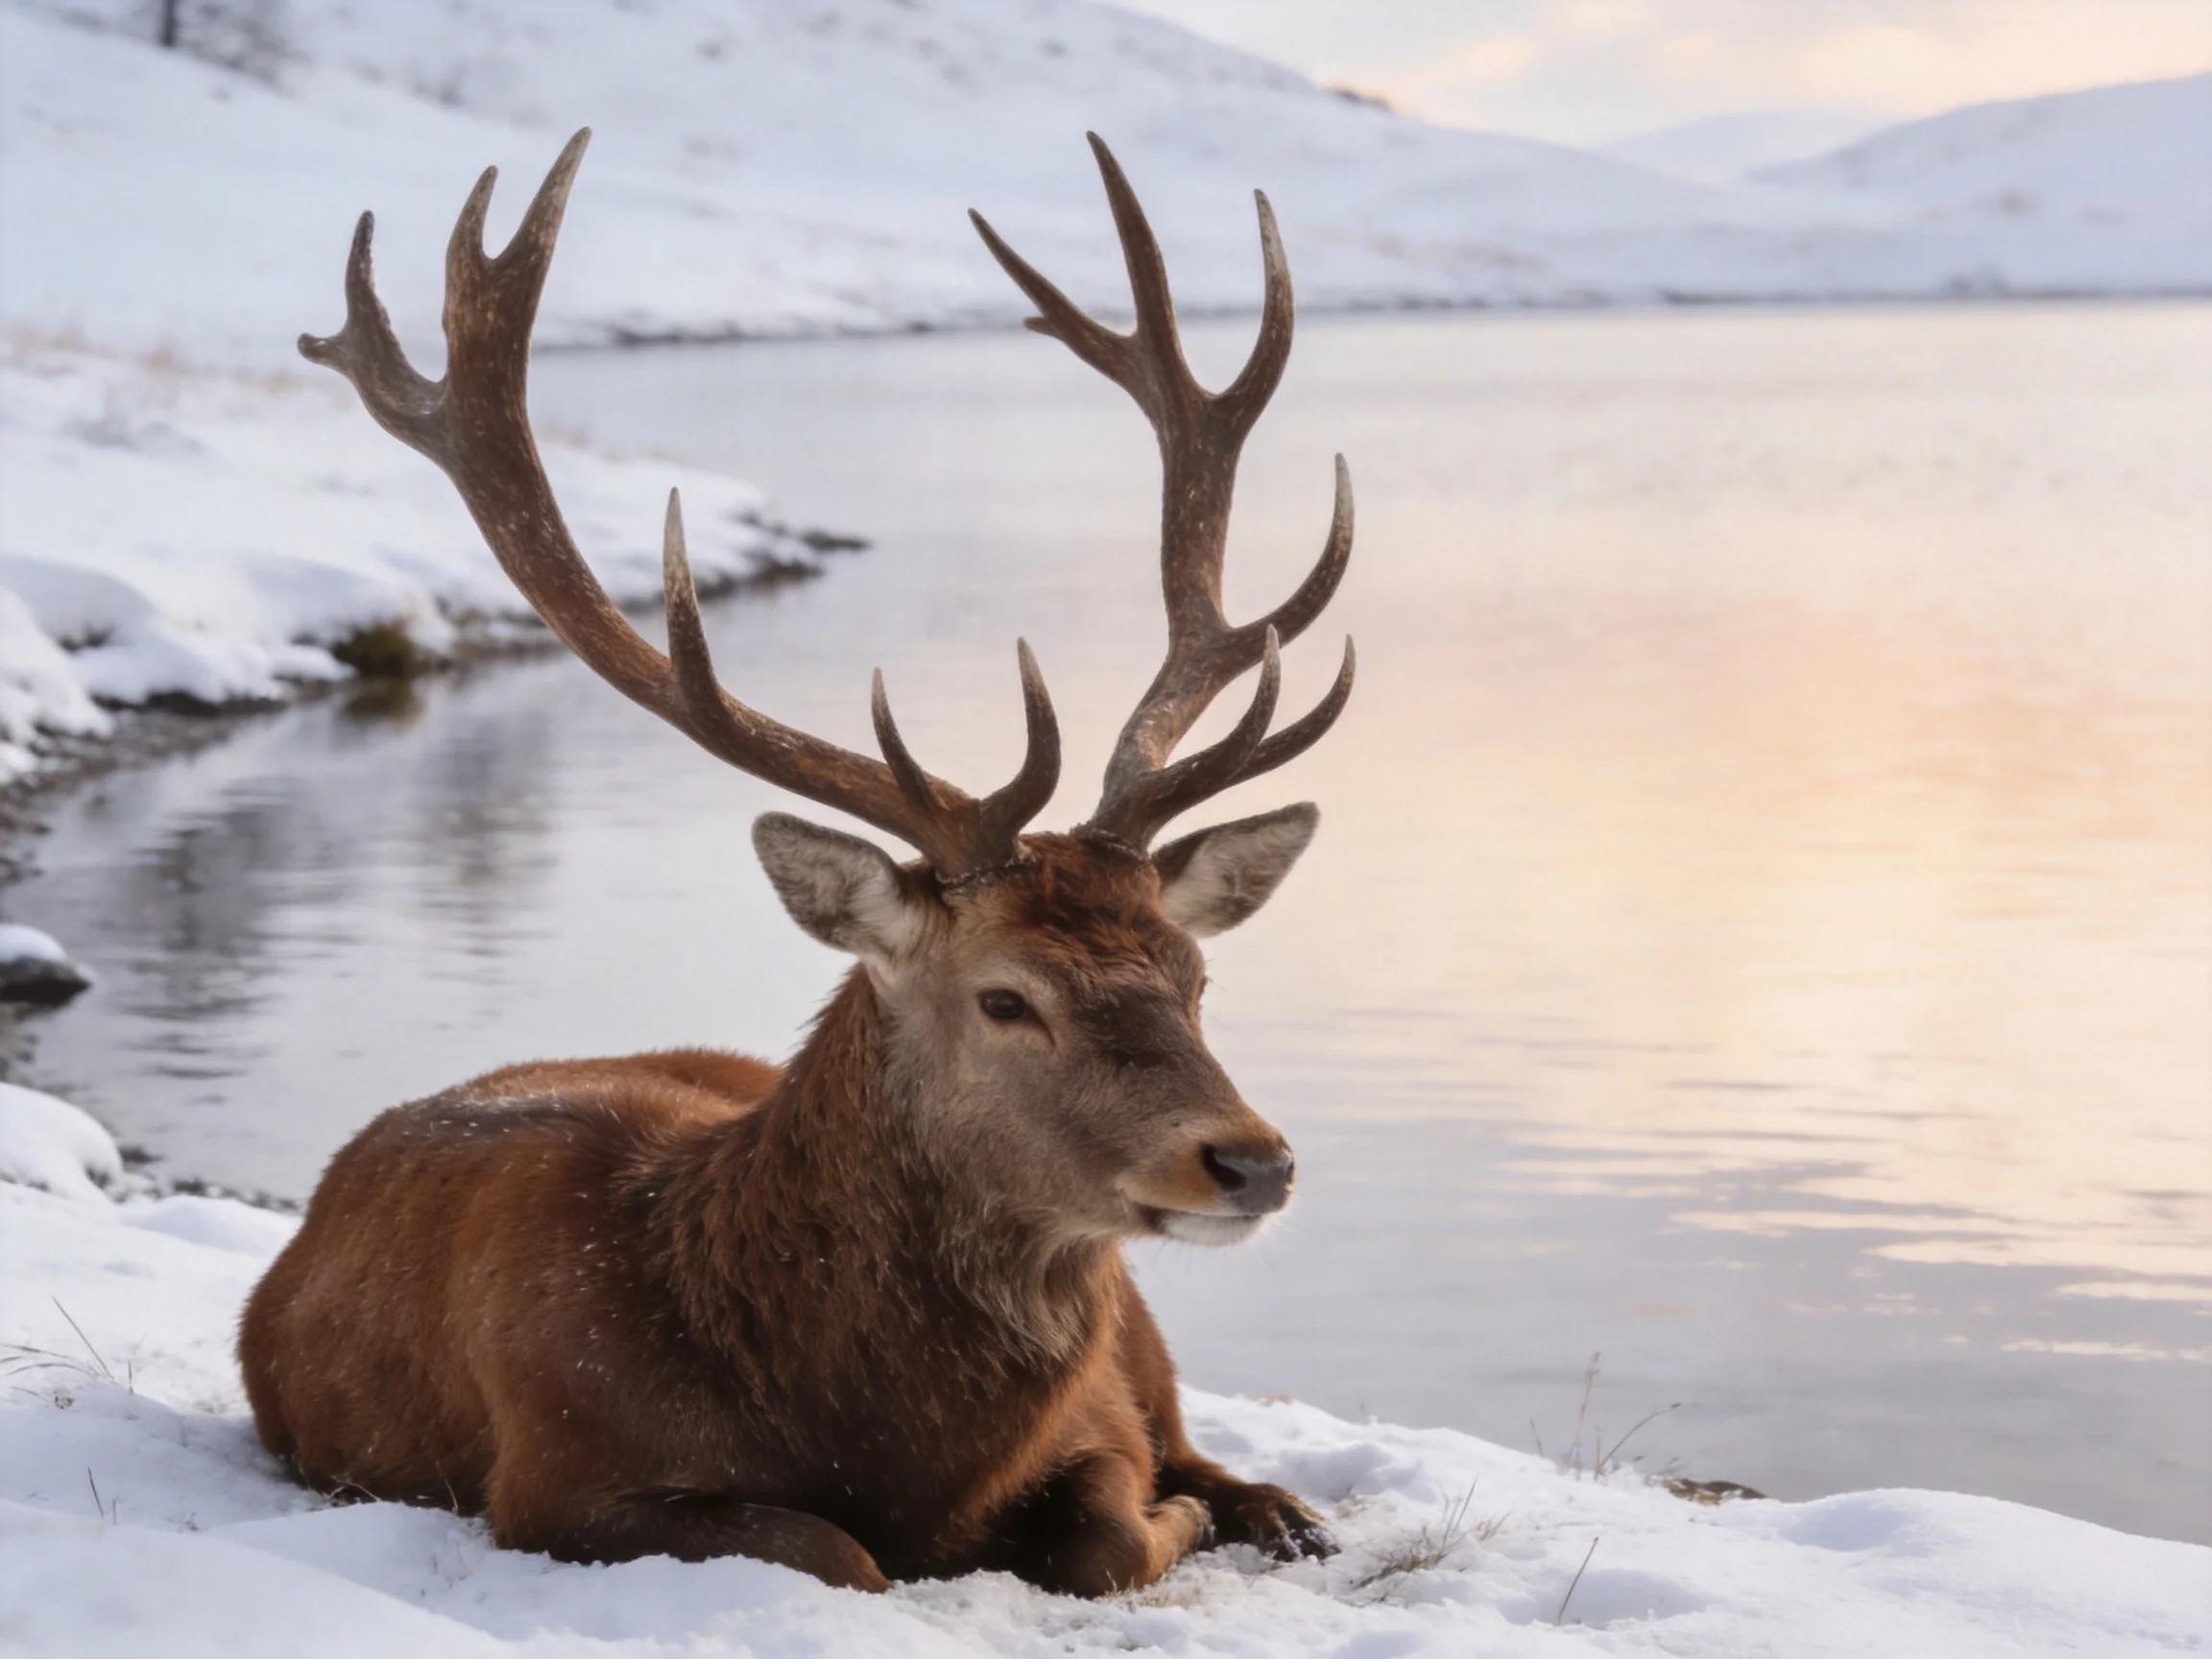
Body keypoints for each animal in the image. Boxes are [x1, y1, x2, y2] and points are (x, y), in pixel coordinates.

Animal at [238, 128, 1358, 1598]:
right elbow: (847, 1555)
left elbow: (1113, 1533)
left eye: (1195, 977)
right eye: (1007, 997)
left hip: (1147, 1332)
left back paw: (1287, 1509)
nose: (1252, 1162)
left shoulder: (1103, 1416)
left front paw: (1198, 1519)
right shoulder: (553, 1479)